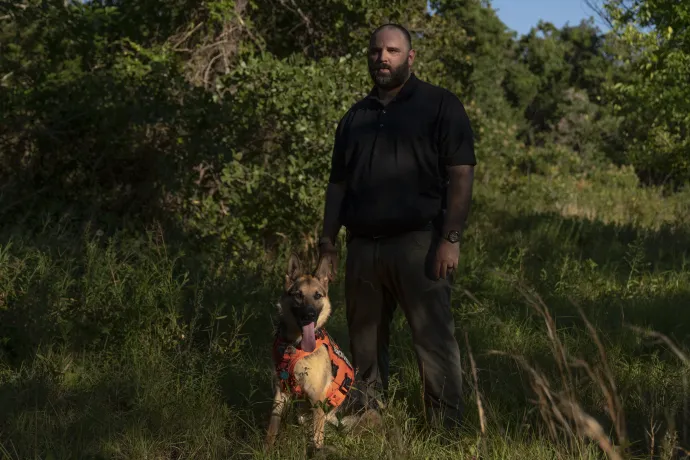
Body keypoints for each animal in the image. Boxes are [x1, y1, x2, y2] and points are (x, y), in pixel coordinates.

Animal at [264, 252, 354, 450]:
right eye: (298, 295)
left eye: (317, 295)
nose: (310, 315)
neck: (295, 346)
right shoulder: (280, 394)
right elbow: (272, 427)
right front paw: (265, 450)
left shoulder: (317, 401)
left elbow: (317, 440)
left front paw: (316, 451)